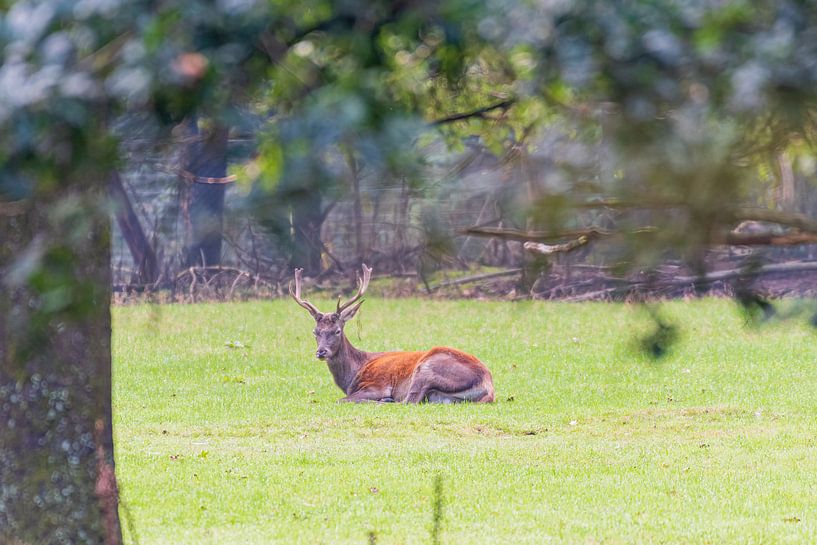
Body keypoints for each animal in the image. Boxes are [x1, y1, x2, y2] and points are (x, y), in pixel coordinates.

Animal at [290, 264, 495, 403]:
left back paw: (387, 400)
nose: (321, 352)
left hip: (426, 368)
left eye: (337, 330)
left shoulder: (377, 385)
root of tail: (488, 384)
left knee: (408, 401)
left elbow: (342, 399)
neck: (352, 375)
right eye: (315, 331)